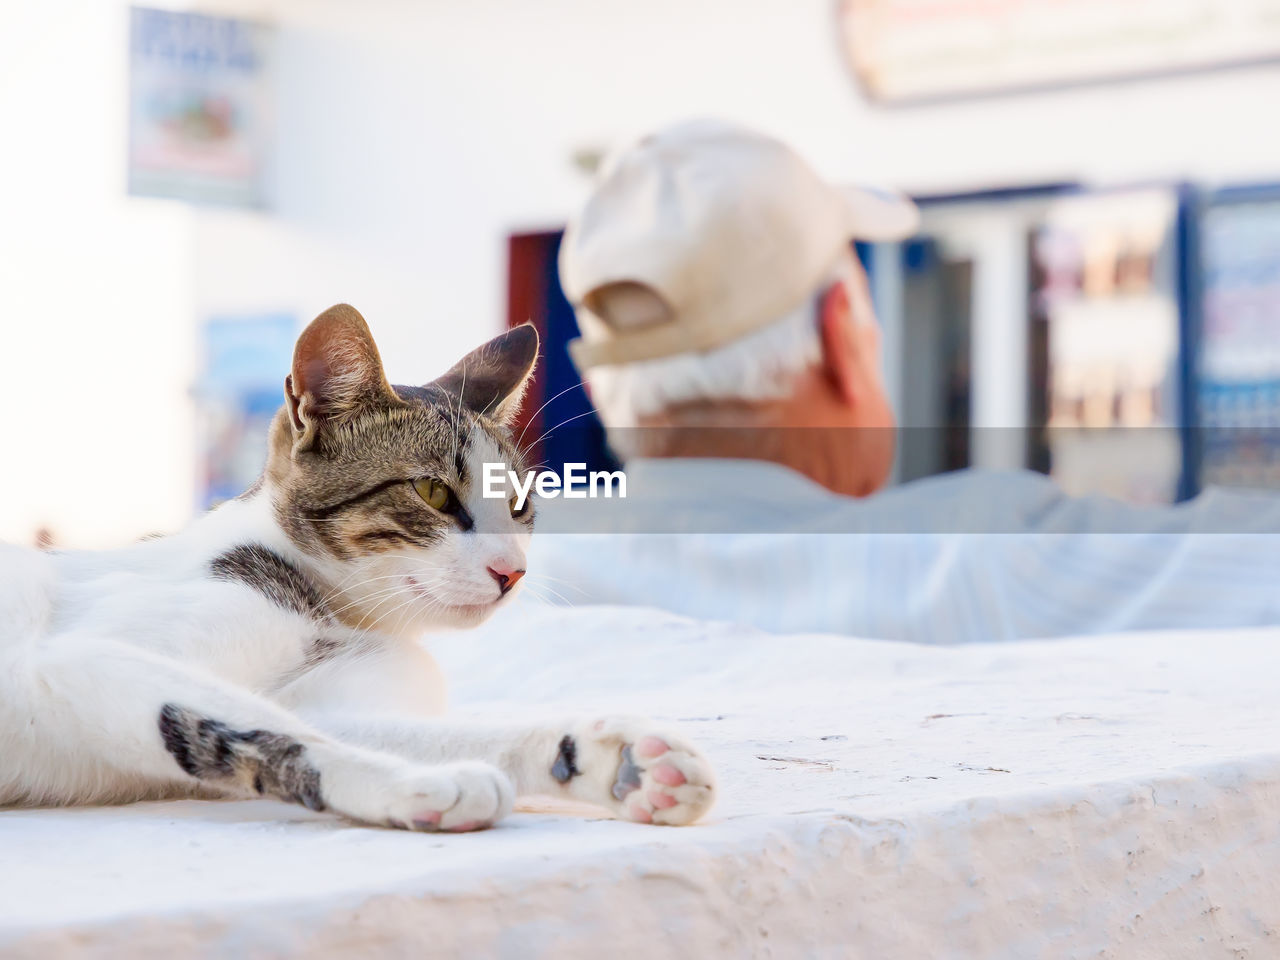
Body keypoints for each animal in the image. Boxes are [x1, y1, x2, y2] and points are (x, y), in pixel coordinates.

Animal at [0, 304, 716, 829]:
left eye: (517, 503)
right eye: (432, 493)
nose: (512, 571)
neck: (332, 612)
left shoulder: (330, 697)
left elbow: (431, 731)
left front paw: (610, 762)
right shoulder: (86, 656)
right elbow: (276, 733)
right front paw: (423, 783)